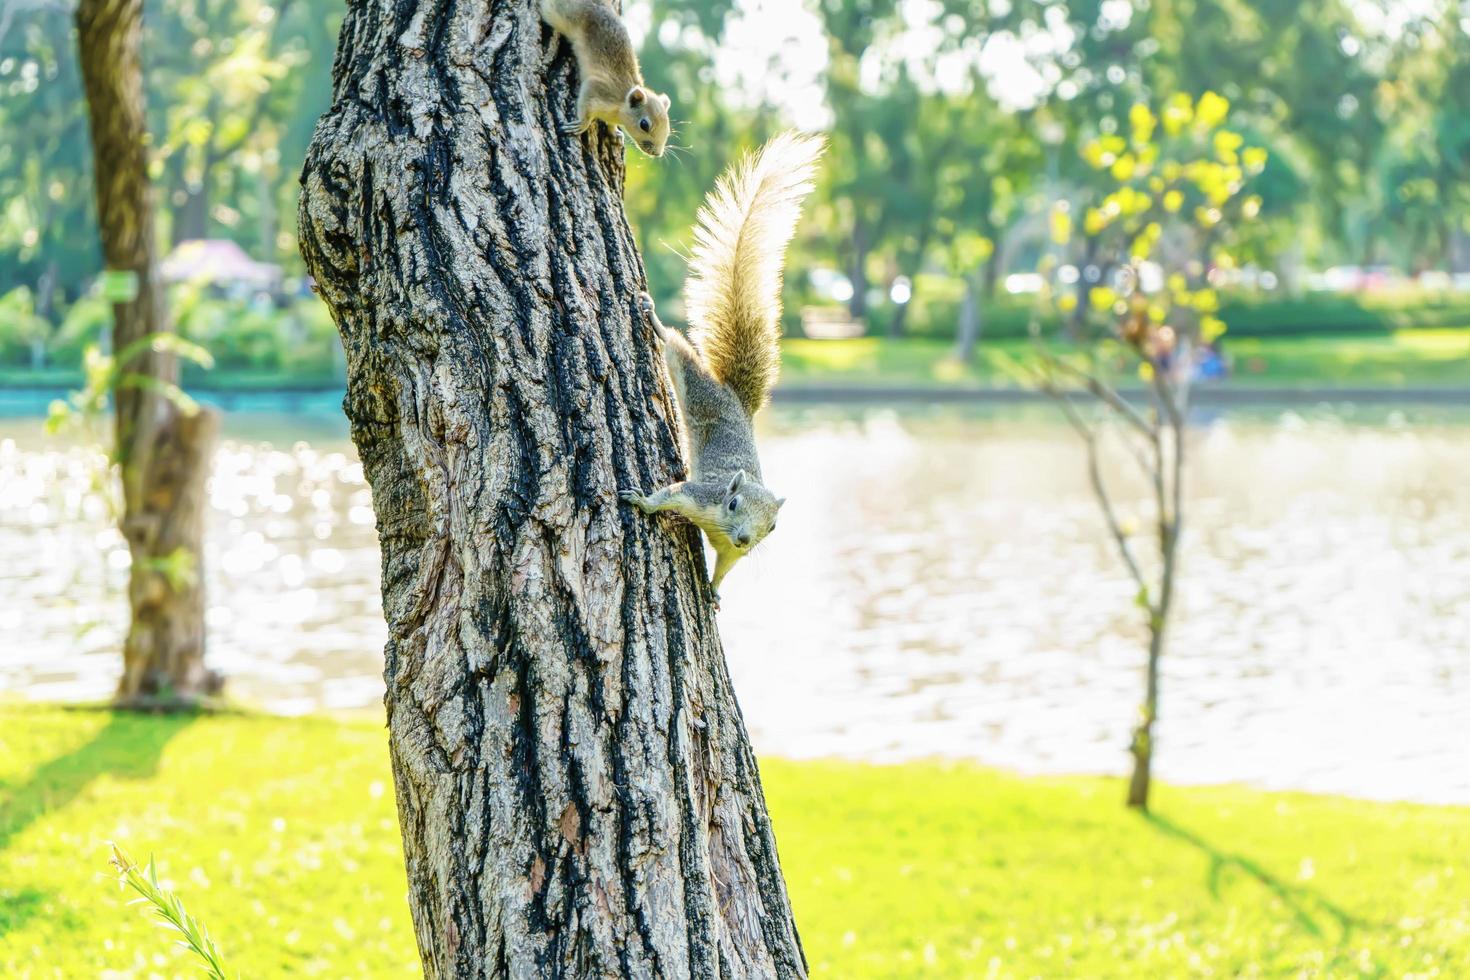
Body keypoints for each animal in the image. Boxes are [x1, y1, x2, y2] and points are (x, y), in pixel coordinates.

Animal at [543, 0, 673, 157]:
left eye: (668, 127)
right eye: (644, 125)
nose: (657, 153)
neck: (620, 107)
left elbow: (610, 124)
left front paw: (615, 133)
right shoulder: (599, 88)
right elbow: (587, 104)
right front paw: (582, 124)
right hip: (559, 13)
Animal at [620, 130, 829, 605]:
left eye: (773, 527)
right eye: (732, 504)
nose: (743, 537)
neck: (717, 523)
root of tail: (735, 400)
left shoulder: (732, 554)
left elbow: (724, 568)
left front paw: (715, 591)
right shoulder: (698, 495)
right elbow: (669, 494)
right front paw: (642, 501)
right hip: (698, 387)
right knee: (678, 349)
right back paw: (653, 320)